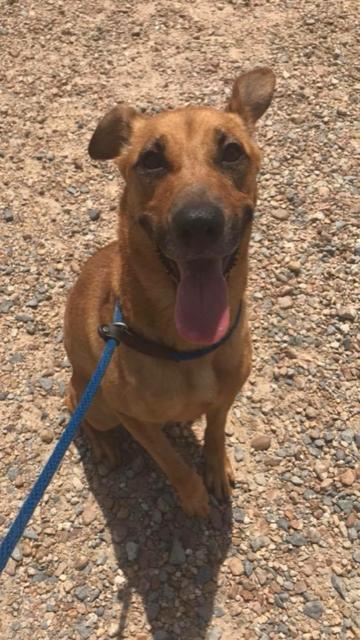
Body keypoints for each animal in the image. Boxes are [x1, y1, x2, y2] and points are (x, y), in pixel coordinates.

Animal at [63, 67, 274, 516]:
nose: (198, 224)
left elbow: (216, 430)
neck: (188, 350)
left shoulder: (226, 396)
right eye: (151, 159)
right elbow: (170, 460)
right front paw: (193, 497)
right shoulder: (134, 419)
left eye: (231, 152)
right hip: (99, 405)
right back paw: (102, 444)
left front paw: (215, 466)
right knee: (77, 406)